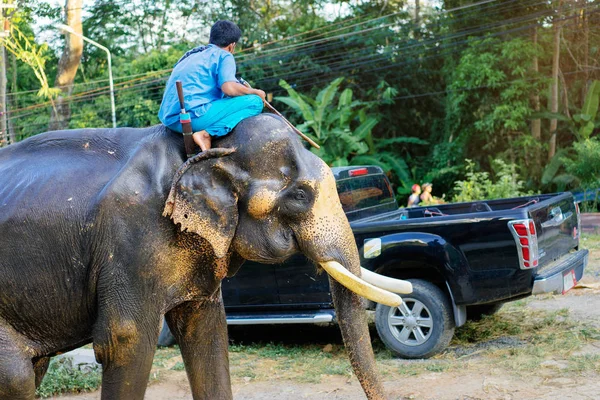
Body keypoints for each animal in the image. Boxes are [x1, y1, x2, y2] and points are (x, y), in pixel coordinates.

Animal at [0, 114, 408, 398]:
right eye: (300, 195)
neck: (203, 152)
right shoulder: (128, 240)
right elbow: (124, 339)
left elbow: (207, 331)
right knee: (17, 377)